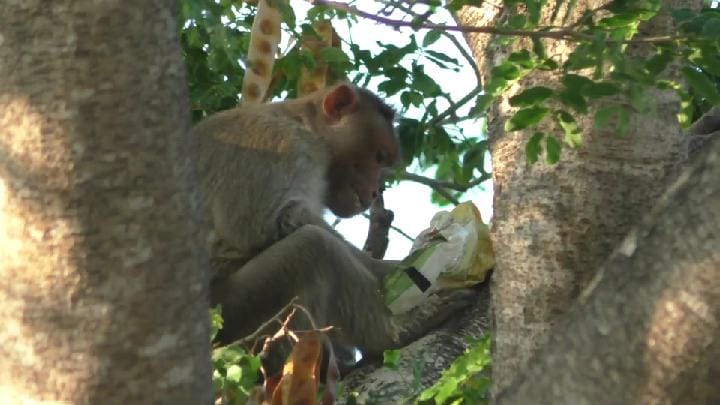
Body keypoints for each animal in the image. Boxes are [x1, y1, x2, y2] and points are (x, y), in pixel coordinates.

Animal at [193, 83, 472, 372]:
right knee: (315, 247)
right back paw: (394, 333)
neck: (300, 121)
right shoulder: (280, 143)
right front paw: (393, 270)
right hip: (237, 311)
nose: (374, 192)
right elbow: (270, 221)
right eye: (378, 156)